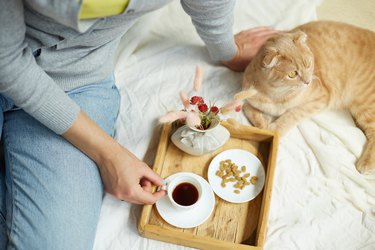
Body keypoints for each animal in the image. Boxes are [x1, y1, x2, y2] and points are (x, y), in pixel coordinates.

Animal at [238, 21, 375, 174]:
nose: (308, 81)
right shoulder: (246, 99)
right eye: (292, 74)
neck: (276, 95)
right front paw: (263, 126)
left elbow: (291, 115)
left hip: (364, 104)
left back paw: (366, 163)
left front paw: (274, 129)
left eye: (308, 64)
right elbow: (252, 113)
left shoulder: (320, 99)